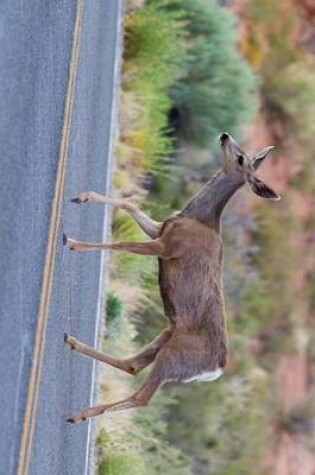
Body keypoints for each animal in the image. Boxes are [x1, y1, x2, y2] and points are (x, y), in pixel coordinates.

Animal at [63, 133, 280, 424]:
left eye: (240, 158)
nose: (224, 136)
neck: (199, 218)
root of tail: (214, 370)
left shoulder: (166, 247)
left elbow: (120, 243)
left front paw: (72, 242)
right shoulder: (160, 230)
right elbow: (129, 204)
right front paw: (82, 196)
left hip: (174, 355)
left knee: (141, 396)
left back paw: (79, 414)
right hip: (167, 336)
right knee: (132, 365)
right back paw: (72, 343)